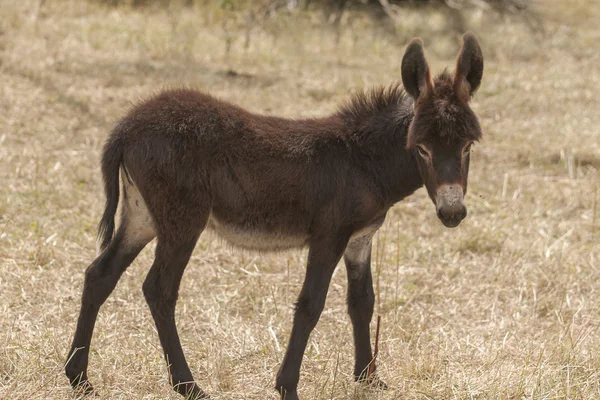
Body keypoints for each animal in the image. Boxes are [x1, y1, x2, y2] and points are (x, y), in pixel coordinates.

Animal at [65, 33, 486, 400]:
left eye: (467, 146)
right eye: (422, 149)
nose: (452, 213)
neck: (362, 159)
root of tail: (126, 127)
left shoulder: (360, 239)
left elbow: (362, 302)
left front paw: (369, 378)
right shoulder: (329, 236)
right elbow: (311, 304)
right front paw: (287, 386)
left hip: (142, 217)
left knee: (100, 275)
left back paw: (79, 378)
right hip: (183, 221)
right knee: (159, 289)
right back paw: (188, 385)